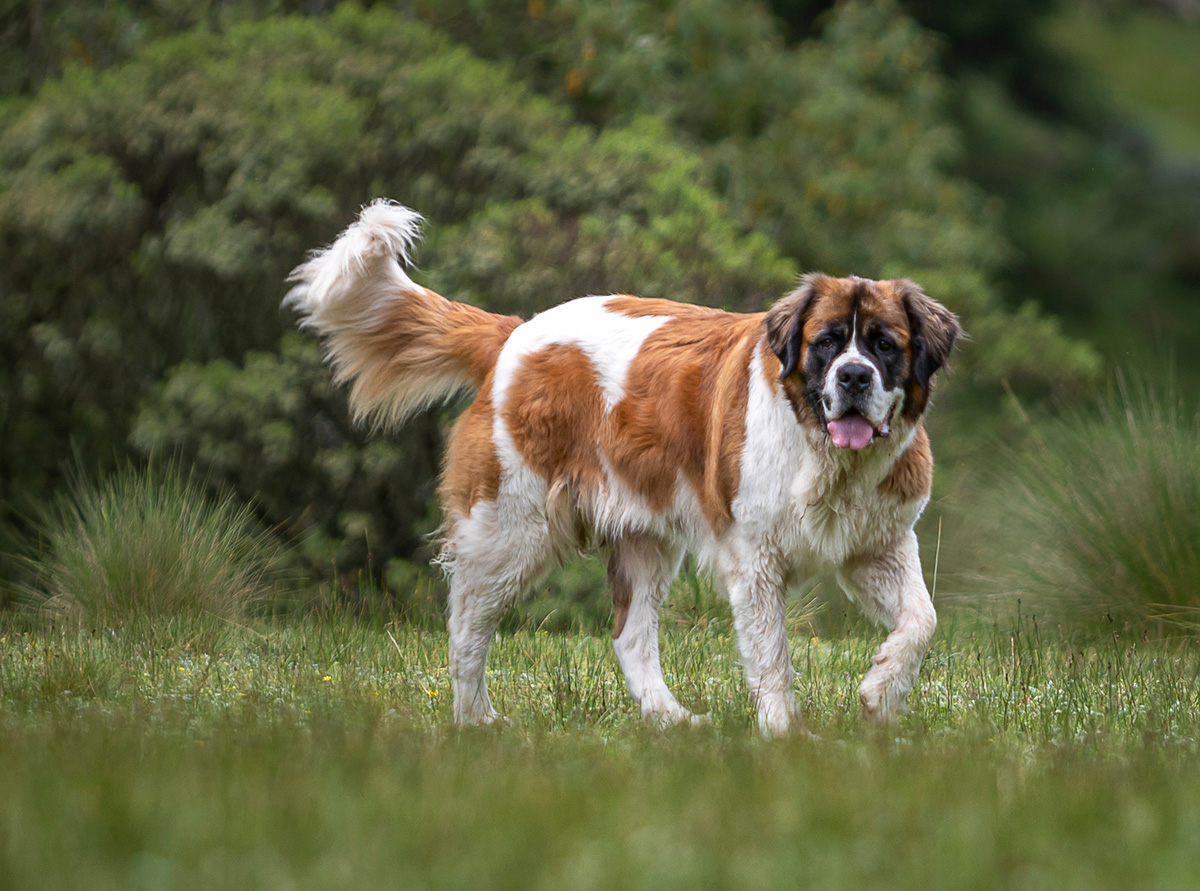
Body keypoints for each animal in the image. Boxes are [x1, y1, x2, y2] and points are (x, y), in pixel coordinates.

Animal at [285, 202, 960, 739]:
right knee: (467, 626)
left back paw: (670, 720)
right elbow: (772, 657)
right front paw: (786, 734)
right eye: (826, 343)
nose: (854, 377)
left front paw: (879, 694)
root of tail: (514, 335)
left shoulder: (878, 545)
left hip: (644, 538)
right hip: (510, 531)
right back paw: (476, 720)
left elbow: (921, 621)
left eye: (884, 345)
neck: (825, 457)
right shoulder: (755, 563)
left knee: (629, 636)